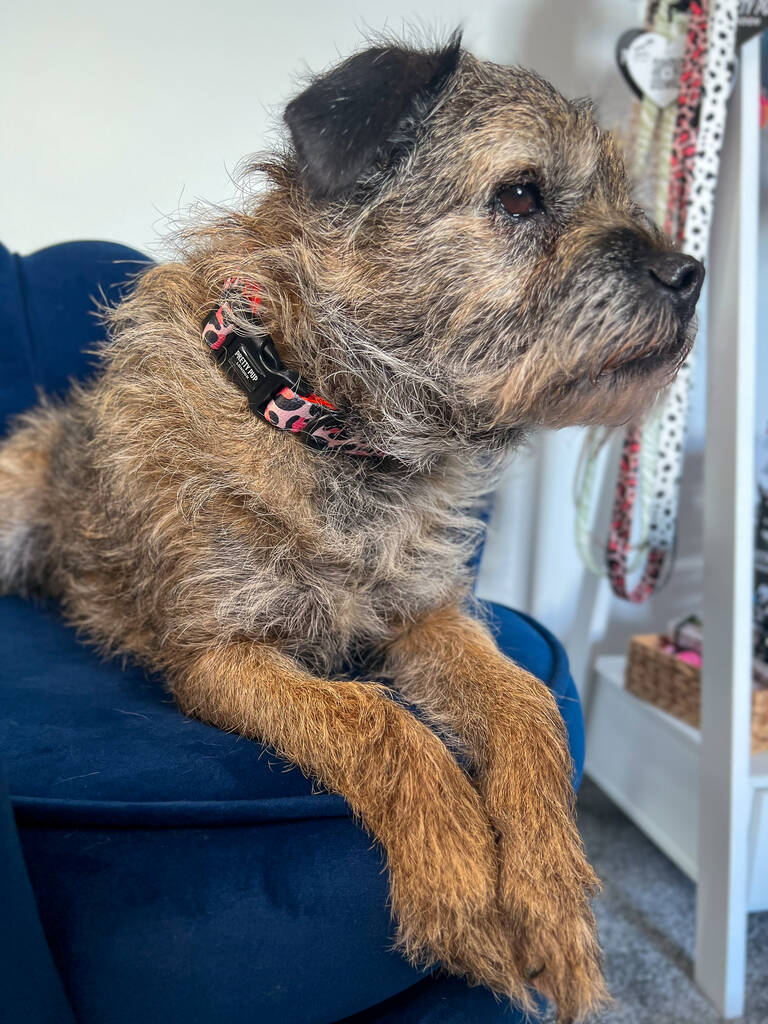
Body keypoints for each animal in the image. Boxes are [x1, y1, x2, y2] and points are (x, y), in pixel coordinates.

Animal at [0, 34, 704, 1024]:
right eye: (520, 195)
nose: (692, 274)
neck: (329, 422)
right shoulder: (222, 655)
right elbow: (381, 722)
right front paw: (463, 887)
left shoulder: (425, 617)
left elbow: (530, 708)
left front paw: (551, 897)